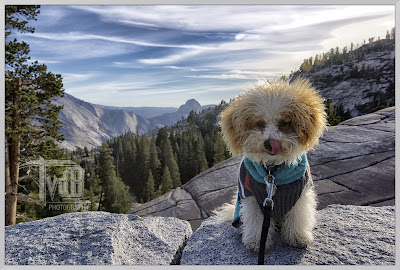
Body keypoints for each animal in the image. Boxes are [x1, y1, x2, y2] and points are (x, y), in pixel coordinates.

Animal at [217, 78, 326, 253]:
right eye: (260, 123)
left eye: (284, 123)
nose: (270, 143)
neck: (272, 171)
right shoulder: (251, 196)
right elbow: (255, 221)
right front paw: (256, 242)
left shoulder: (301, 193)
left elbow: (298, 217)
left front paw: (298, 237)